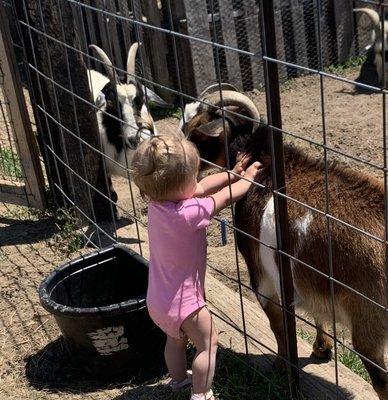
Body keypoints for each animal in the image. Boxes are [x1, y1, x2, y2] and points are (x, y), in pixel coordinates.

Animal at [182, 91, 388, 400]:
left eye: (196, 133)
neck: (265, 166)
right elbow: (316, 312)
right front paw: (322, 349)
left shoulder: (261, 276)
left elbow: (276, 322)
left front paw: (281, 364)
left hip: (369, 324)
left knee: (381, 381)